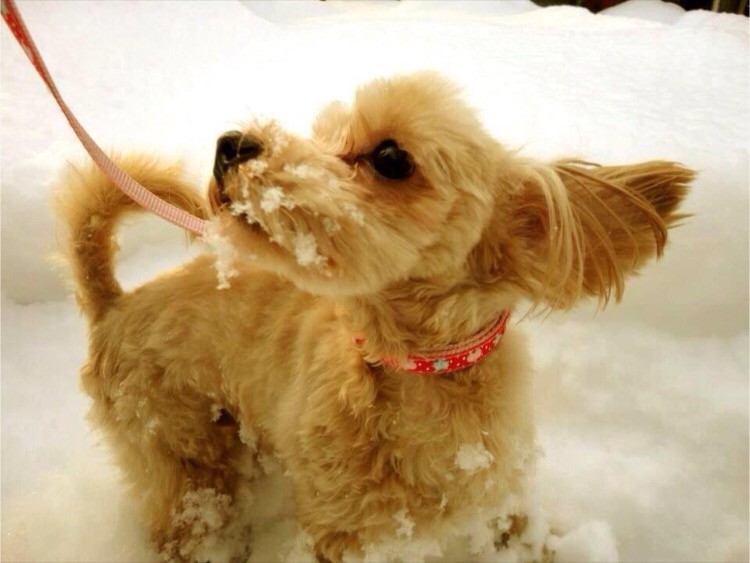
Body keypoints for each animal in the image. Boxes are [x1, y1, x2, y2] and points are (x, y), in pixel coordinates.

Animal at [55, 72, 696, 560]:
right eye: (323, 134)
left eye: (391, 157)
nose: (230, 144)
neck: (428, 373)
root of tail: (115, 302)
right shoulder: (346, 530)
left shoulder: (497, 489)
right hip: (184, 454)